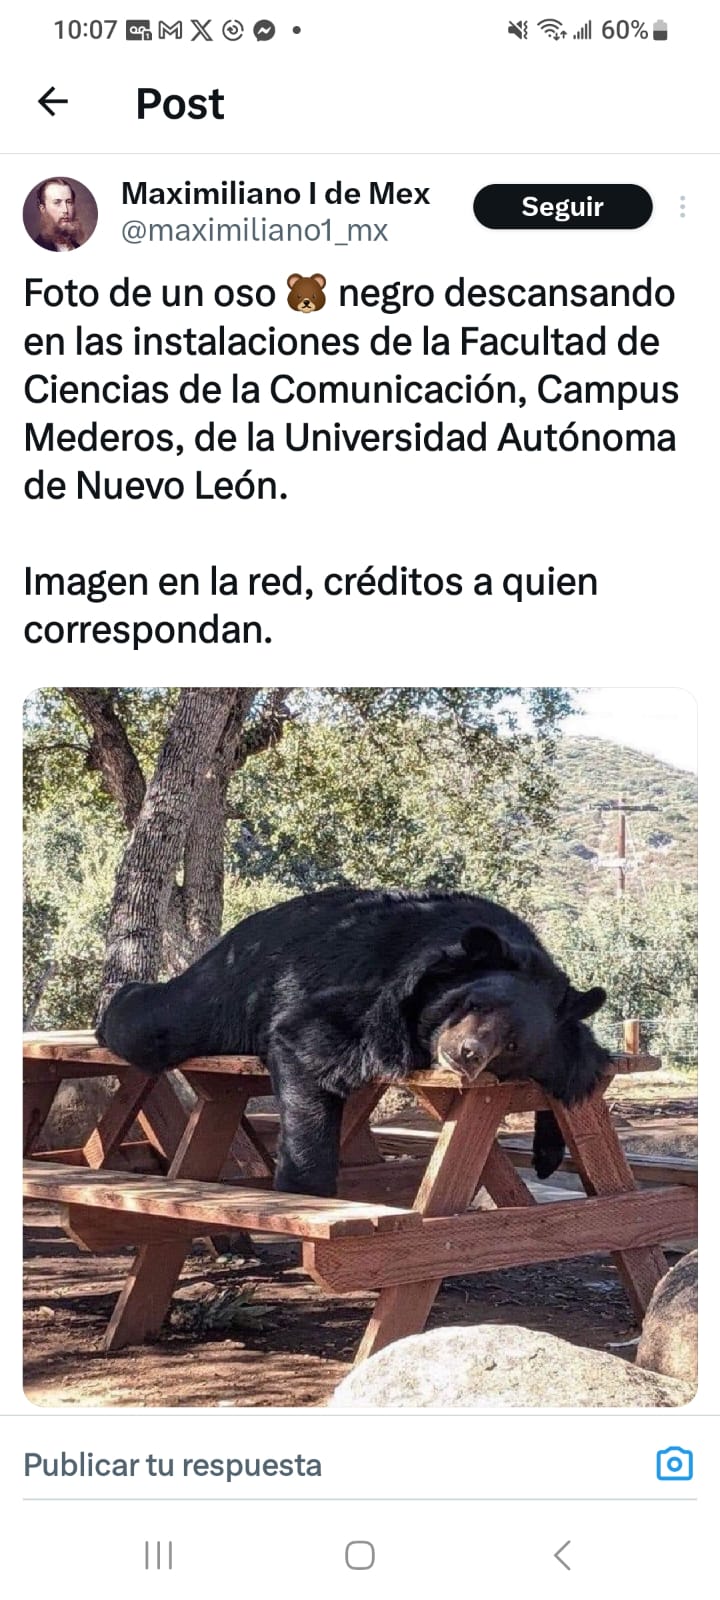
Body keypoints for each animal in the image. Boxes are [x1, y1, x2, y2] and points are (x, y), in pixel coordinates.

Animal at [97, 886, 609, 1197]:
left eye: (513, 1045)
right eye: (473, 1002)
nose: (466, 1054)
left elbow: (577, 1068)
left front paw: (549, 1151)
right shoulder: (377, 995)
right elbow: (309, 1042)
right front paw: (304, 1189)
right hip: (230, 987)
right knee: (155, 1022)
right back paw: (114, 1005)